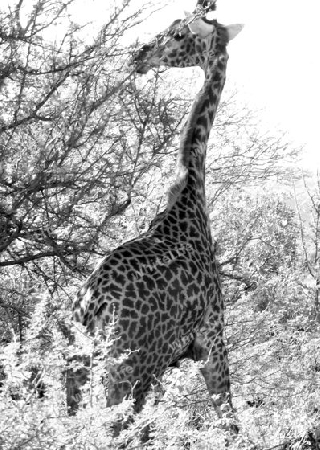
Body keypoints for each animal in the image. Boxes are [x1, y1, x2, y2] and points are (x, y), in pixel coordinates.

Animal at [69, 1, 241, 422]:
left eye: (178, 34)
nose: (141, 53)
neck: (189, 191)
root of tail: (95, 306)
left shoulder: (177, 358)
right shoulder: (212, 338)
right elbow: (229, 420)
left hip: (79, 366)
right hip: (131, 368)